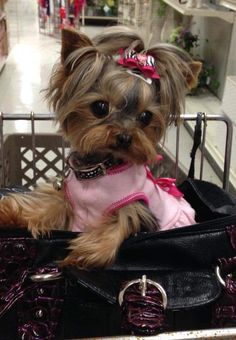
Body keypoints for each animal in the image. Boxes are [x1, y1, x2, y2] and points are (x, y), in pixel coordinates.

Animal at [0, 25, 201, 268]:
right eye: (100, 107)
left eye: (145, 117)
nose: (125, 137)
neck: (101, 168)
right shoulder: (68, 198)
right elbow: (48, 204)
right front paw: (10, 214)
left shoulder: (137, 206)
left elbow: (122, 222)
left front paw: (83, 253)